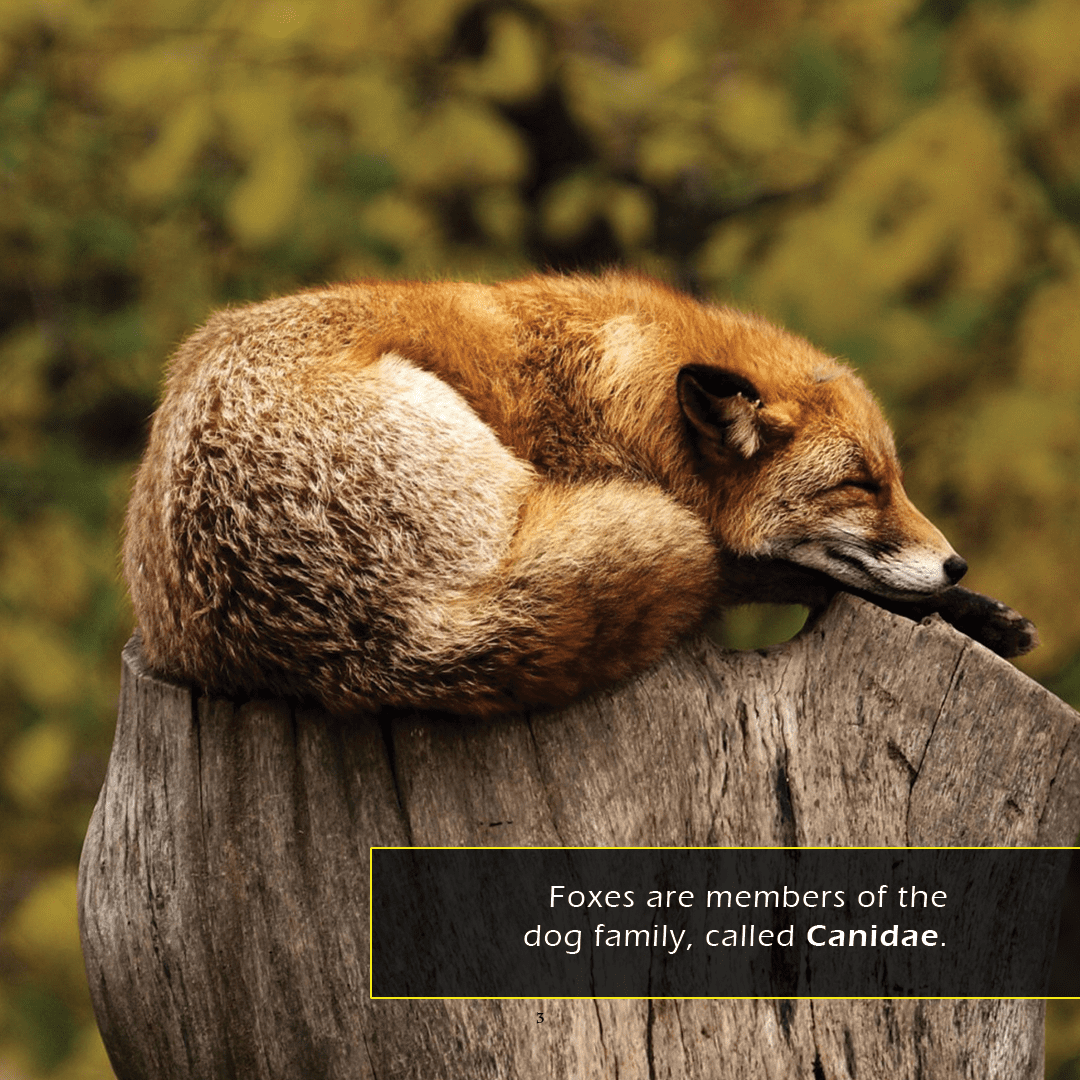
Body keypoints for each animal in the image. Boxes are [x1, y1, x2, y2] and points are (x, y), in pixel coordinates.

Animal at [123, 272, 1037, 716]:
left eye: (896, 479)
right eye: (860, 485)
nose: (956, 564)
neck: (619, 398)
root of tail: (381, 637)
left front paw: (982, 611)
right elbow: (791, 573)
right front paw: (969, 611)